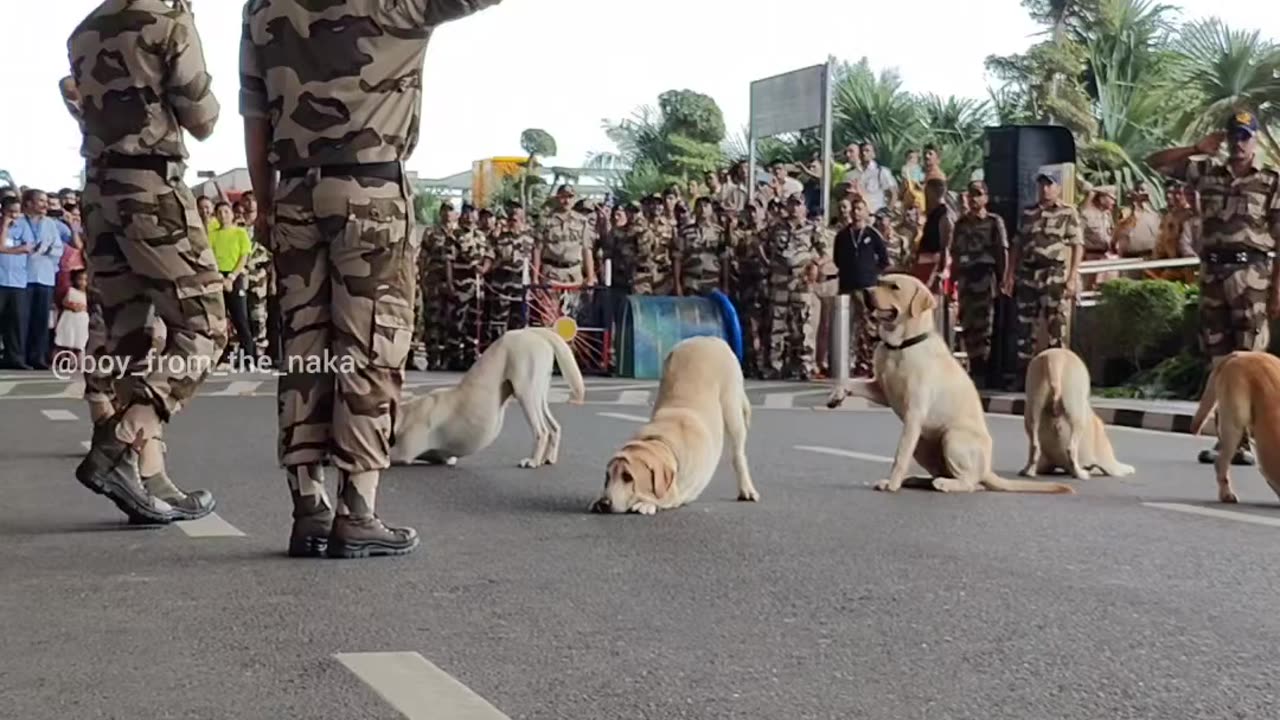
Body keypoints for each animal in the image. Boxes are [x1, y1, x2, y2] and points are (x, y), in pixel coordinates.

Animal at [389, 326, 586, 471]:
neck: (404, 415)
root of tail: (532, 331)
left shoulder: (403, 453)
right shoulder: (442, 457)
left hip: (525, 392)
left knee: (542, 431)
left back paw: (533, 461)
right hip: (539, 394)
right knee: (554, 427)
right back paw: (548, 459)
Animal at [591, 333, 757, 512]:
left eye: (628, 477)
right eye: (607, 476)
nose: (604, 503)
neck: (661, 443)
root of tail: (709, 338)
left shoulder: (679, 490)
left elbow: (666, 497)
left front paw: (646, 503)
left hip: (732, 410)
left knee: (738, 454)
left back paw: (746, 489)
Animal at [819, 272, 1070, 491]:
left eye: (894, 287)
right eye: (880, 281)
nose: (865, 291)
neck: (901, 345)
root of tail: (987, 470)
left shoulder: (914, 413)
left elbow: (900, 454)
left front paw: (892, 484)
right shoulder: (882, 390)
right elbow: (849, 381)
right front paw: (836, 396)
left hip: (951, 437)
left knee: (970, 483)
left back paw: (945, 485)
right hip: (923, 443)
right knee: (946, 473)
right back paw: (920, 480)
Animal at [1018, 345, 1141, 479]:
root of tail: (1055, 359)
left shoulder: (1046, 463)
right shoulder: (1111, 464)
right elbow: (1124, 468)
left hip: (1034, 403)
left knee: (1034, 443)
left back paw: (1028, 471)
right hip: (1076, 410)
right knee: (1071, 448)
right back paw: (1080, 474)